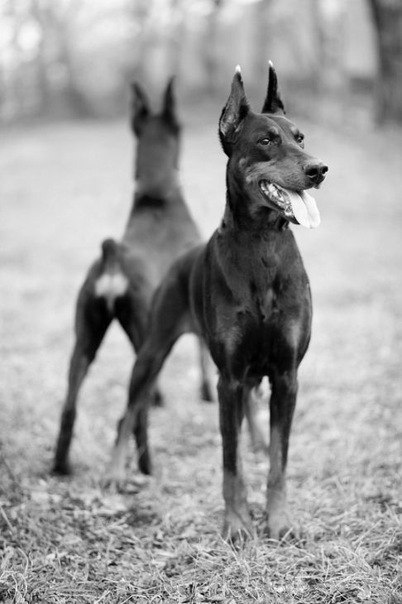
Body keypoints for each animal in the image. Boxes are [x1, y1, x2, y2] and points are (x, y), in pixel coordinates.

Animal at [53, 78, 214, 475]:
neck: (158, 201)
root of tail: (113, 258)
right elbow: (203, 353)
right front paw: (206, 393)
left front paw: (161, 398)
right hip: (148, 338)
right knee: (131, 415)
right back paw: (146, 466)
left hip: (87, 337)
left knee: (70, 406)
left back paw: (61, 466)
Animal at [106, 63, 328, 541]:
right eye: (266, 140)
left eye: (300, 137)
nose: (319, 169)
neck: (263, 244)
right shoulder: (227, 377)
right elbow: (231, 463)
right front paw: (237, 524)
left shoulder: (287, 376)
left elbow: (279, 461)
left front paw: (279, 520)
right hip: (151, 353)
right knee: (128, 412)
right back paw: (114, 473)